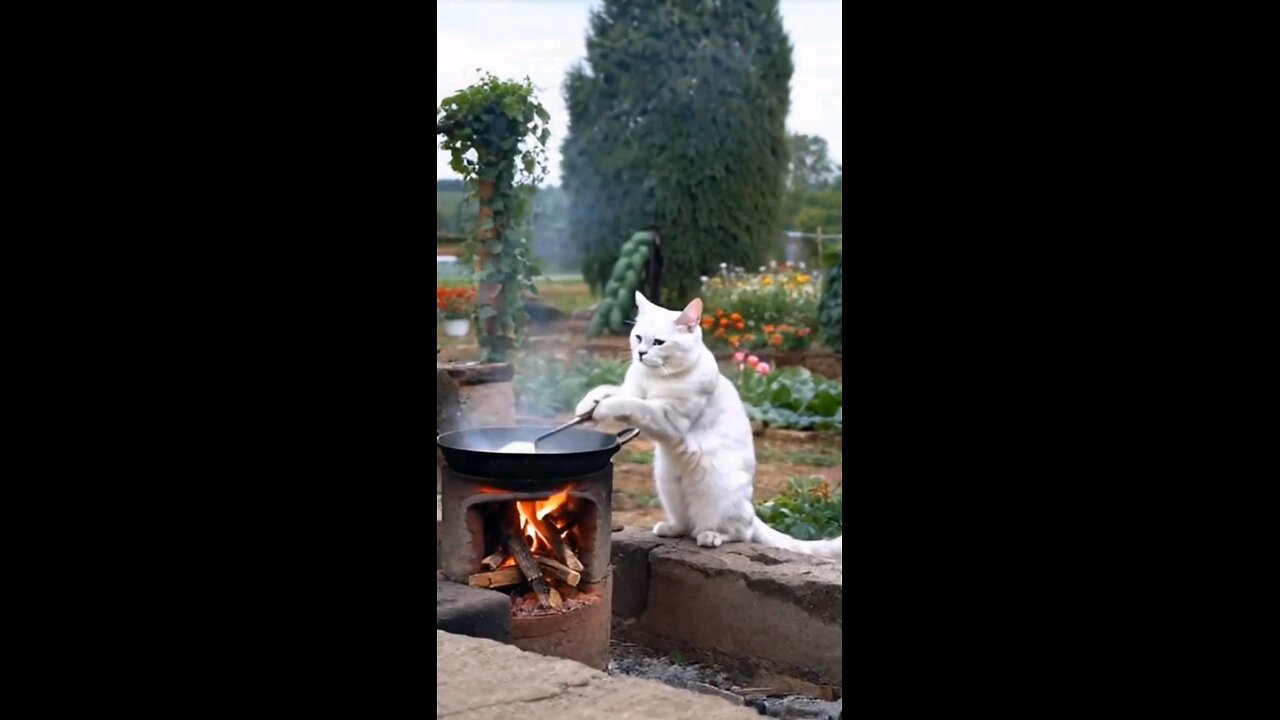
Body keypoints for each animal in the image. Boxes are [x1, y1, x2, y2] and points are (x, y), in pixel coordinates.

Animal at [578, 288, 839, 558]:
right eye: (638, 337)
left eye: (658, 343)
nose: (640, 353)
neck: (655, 377)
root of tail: (752, 510)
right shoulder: (631, 389)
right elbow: (609, 390)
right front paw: (587, 406)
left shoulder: (667, 418)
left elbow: (631, 405)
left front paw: (603, 409)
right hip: (669, 488)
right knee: (685, 523)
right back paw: (669, 528)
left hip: (718, 495)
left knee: (737, 532)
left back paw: (711, 536)